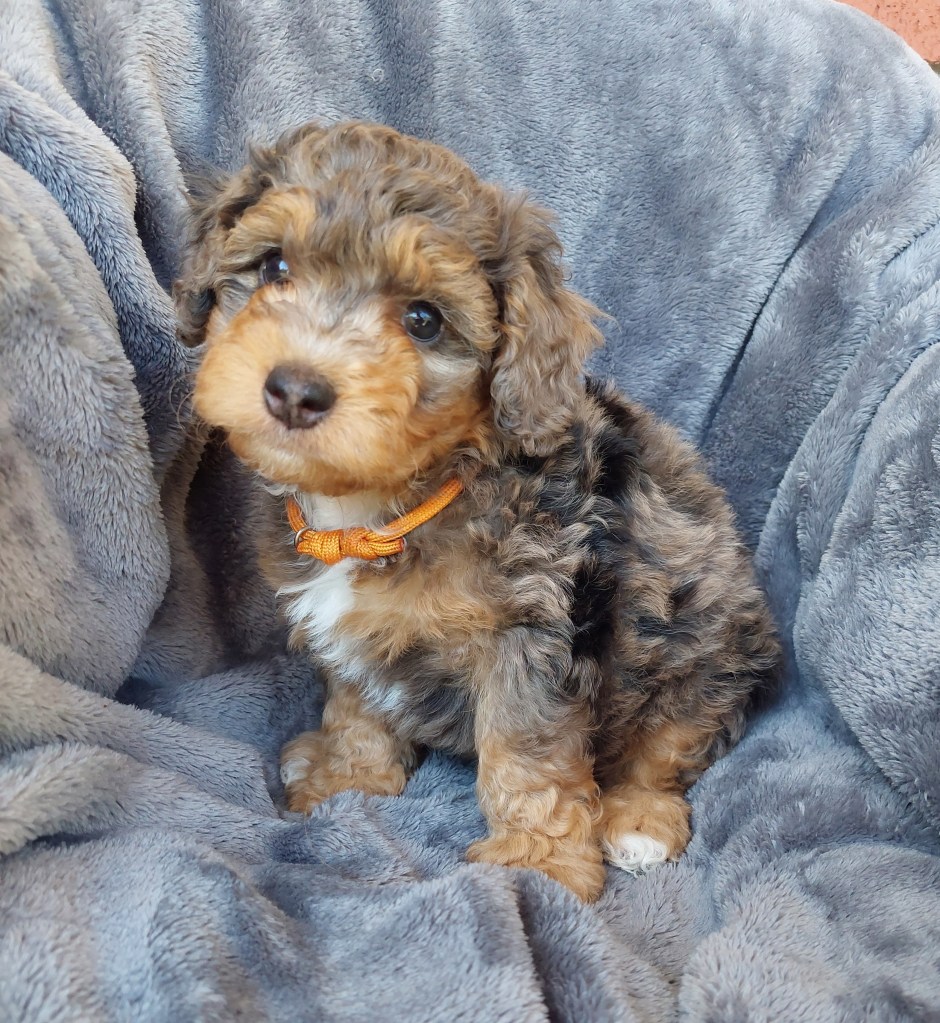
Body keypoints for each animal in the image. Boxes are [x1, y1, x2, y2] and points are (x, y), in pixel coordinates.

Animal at [175, 120, 779, 902]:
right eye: (274, 266)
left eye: (424, 320)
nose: (295, 391)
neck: (386, 506)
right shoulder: (356, 641)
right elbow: (357, 706)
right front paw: (349, 778)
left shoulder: (530, 632)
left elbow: (528, 756)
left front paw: (539, 862)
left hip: (706, 642)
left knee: (673, 738)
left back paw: (638, 817)